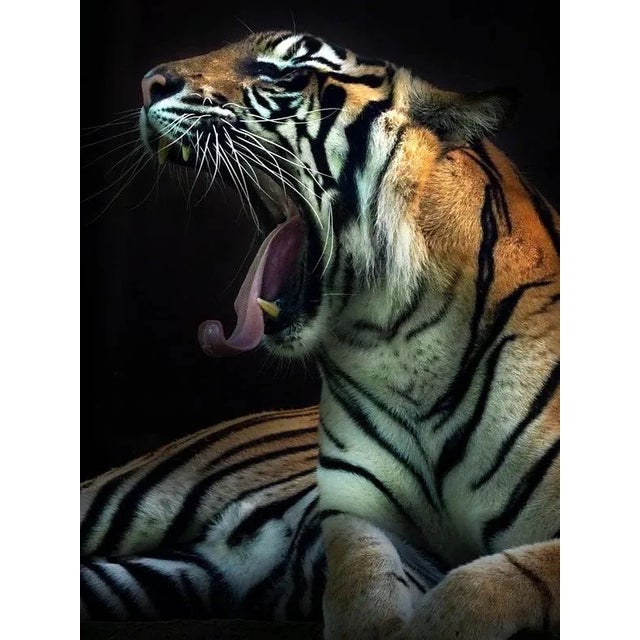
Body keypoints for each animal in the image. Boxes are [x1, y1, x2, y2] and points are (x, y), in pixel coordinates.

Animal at [81, 30, 559, 640]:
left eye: (285, 73)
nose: (147, 84)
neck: (401, 343)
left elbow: (482, 587)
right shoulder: (359, 514)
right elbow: (362, 591)